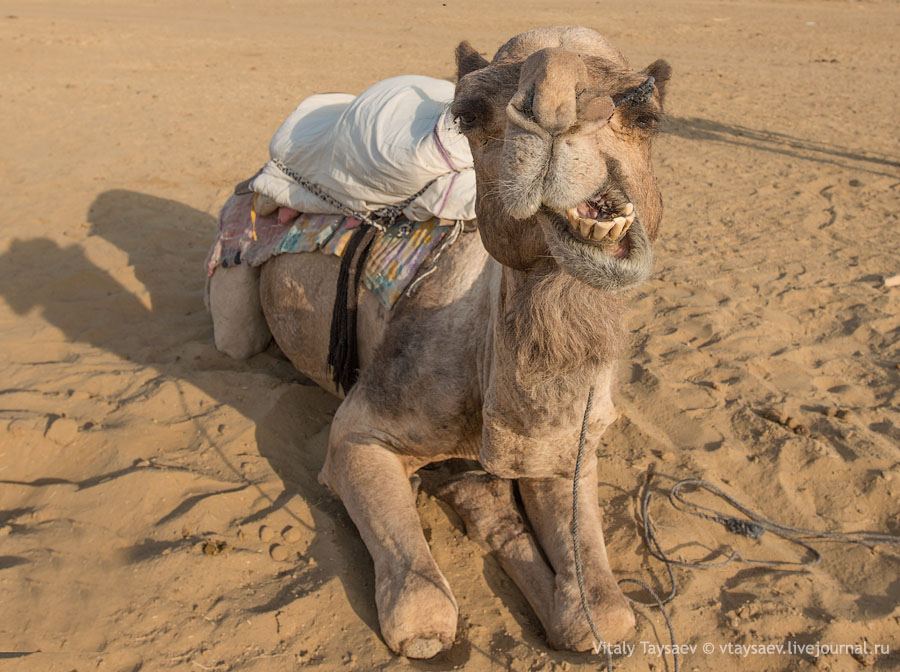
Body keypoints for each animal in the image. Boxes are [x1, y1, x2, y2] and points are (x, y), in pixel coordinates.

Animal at [209, 25, 668, 656]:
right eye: (469, 114)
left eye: (647, 114)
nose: (553, 115)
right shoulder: (360, 433)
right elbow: (421, 613)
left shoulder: (566, 451)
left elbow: (605, 614)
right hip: (236, 251)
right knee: (236, 339)